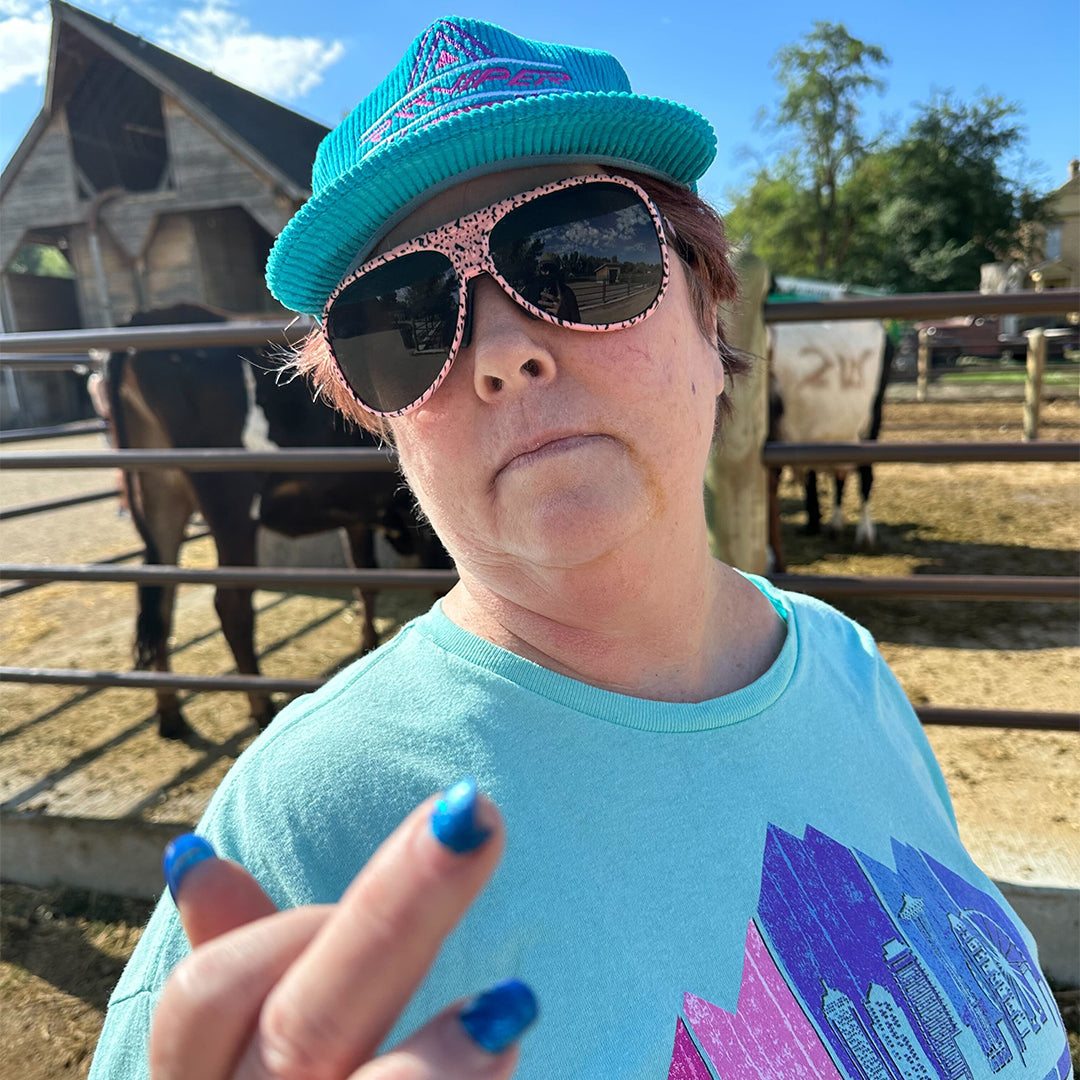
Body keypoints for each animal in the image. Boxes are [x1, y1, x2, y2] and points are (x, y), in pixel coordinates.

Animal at [106, 304, 451, 743]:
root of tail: (149, 320)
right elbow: (431, 583)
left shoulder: (355, 511)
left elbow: (365, 580)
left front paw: (367, 646)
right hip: (231, 504)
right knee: (230, 605)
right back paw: (260, 707)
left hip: (159, 495)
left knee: (159, 597)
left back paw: (170, 715)